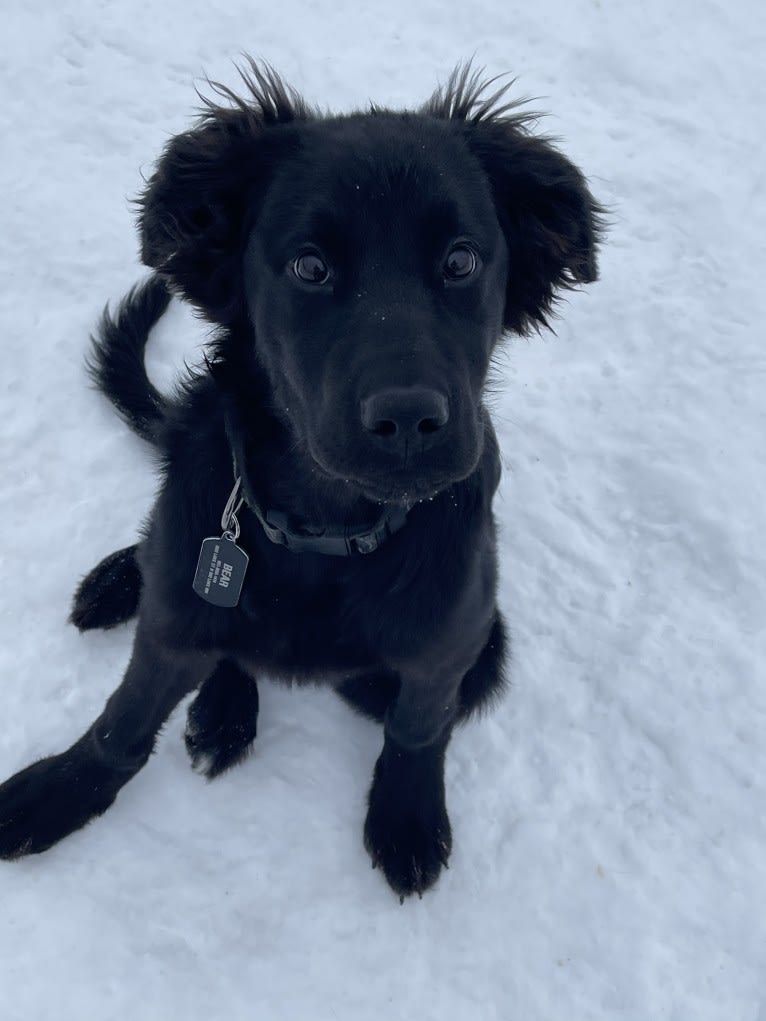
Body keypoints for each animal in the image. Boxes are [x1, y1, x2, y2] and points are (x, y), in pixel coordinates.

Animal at [0, 59, 604, 898]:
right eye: (310, 266)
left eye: (460, 260)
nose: (409, 420)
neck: (327, 529)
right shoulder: (171, 625)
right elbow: (124, 719)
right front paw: (59, 792)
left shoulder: (453, 644)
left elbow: (418, 726)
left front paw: (407, 817)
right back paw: (131, 594)